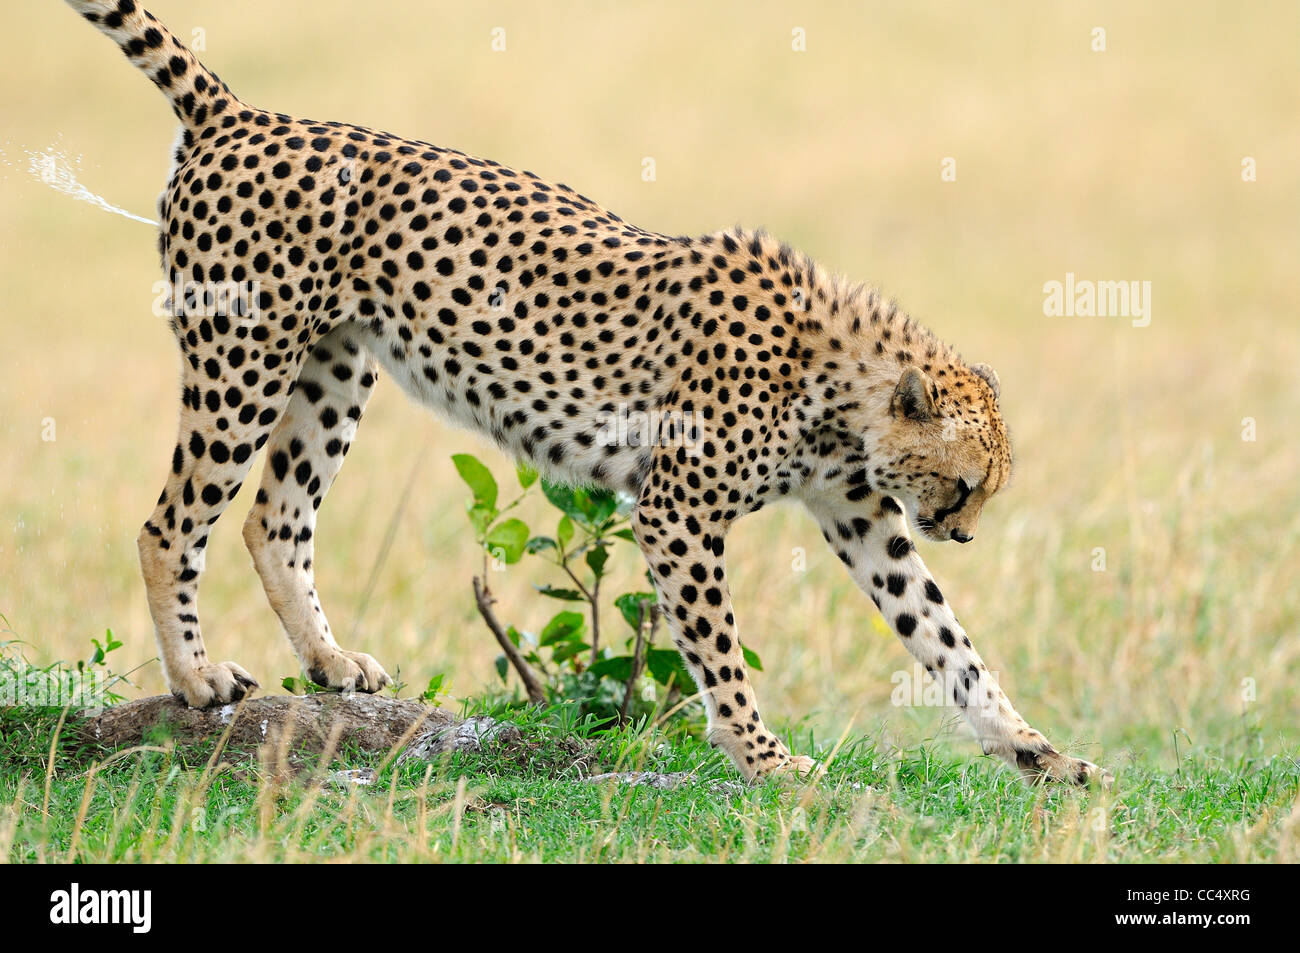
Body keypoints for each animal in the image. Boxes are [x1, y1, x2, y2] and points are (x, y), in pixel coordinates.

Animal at [63, 3, 1107, 785]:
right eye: (966, 485)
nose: (963, 532)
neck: (838, 389)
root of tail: (243, 114)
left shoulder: (863, 516)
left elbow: (947, 638)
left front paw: (1035, 749)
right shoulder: (677, 510)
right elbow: (721, 652)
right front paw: (766, 760)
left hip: (334, 368)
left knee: (273, 518)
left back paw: (330, 663)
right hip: (242, 362)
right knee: (171, 524)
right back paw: (197, 678)